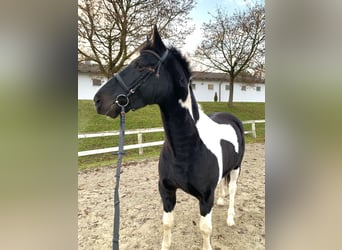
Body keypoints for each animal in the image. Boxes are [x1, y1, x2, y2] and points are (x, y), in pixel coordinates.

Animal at [93, 25, 243, 250]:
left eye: (140, 65)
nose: (98, 100)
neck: (186, 148)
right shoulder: (167, 191)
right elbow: (167, 224)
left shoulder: (205, 198)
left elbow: (205, 230)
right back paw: (222, 202)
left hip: (236, 169)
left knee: (232, 190)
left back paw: (231, 218)